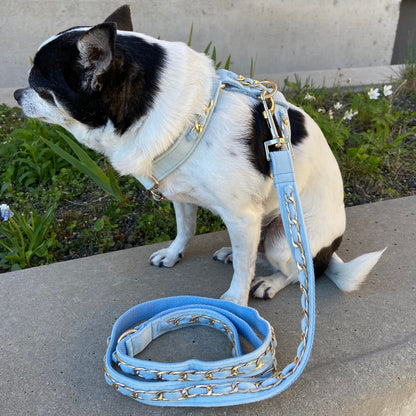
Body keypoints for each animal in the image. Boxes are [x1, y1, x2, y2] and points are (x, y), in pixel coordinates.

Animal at [13, 5, 384, 306]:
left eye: (40, 87)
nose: (16, 93)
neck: (192, 117)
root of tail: (328, 250)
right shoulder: (181, 196)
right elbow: (185, 229)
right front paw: (174, 254)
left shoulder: (242, 217)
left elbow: (244, 273)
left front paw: (236, 300)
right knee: (256, 252)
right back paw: (233, 253)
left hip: (284, 238)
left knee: (299, 271)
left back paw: (269, 281)